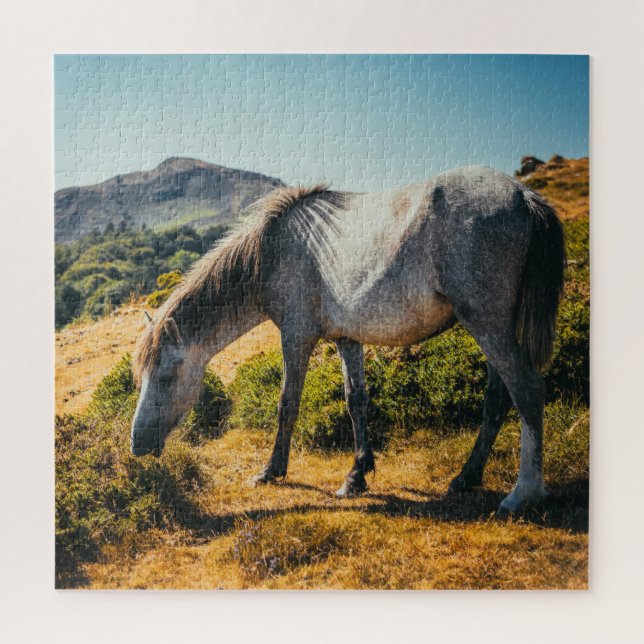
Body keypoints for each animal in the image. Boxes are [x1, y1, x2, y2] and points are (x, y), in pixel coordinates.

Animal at [130, 165, 565, 515]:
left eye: (166, 378)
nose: (137, 445)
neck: (272, 252)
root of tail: (522, 195)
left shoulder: (296, 337)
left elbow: (287, 404)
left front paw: (271, 471)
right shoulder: (346, 338)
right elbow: (356, 400)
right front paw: (357, 475)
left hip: (487, 322)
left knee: (526, 389)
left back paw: (523, 493)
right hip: (492, 326)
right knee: (498, 397)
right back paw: (466, 478)